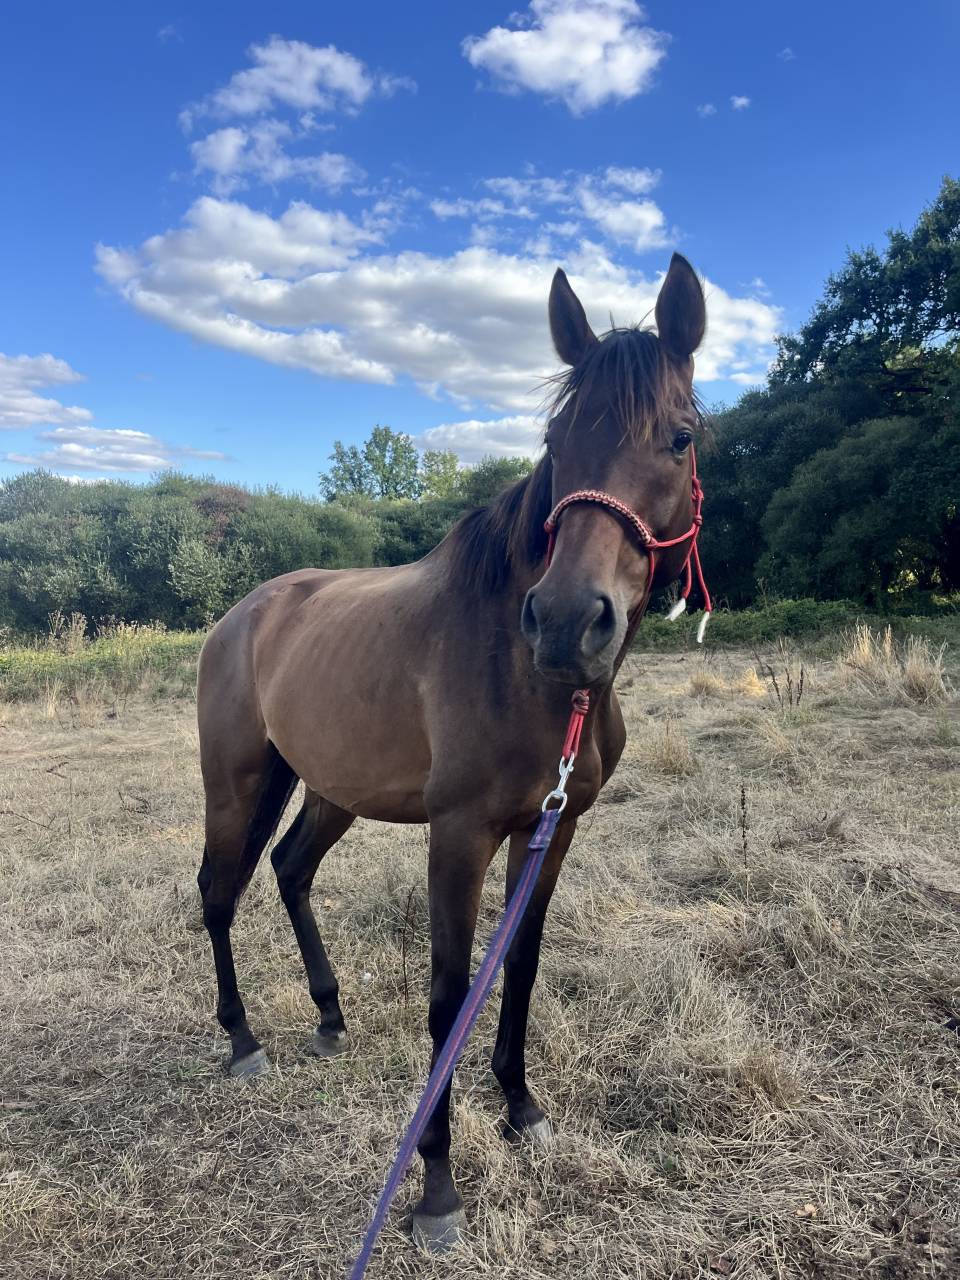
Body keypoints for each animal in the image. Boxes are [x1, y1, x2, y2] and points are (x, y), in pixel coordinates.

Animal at [195, 252, 708, 1251]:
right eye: (555, 436)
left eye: (679, 437)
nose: (566, 623)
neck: (527, 674)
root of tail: (243, 613)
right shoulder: (458, 834)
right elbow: (448, 996)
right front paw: (436, 1187)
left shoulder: (552, 830)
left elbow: (520, 968)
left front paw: (521, 1109)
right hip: (236, 784)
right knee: (218, 891)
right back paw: (242, 1041)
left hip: (329, 790)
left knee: (289, 869)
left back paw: (329, 1017)